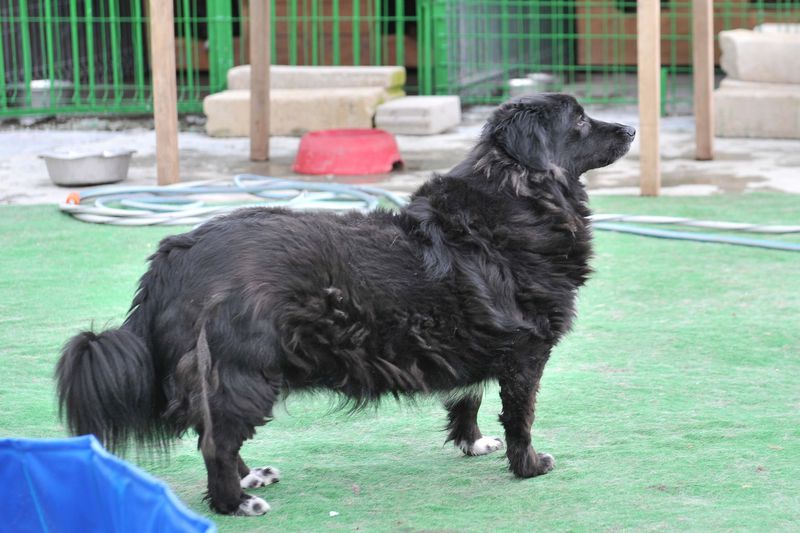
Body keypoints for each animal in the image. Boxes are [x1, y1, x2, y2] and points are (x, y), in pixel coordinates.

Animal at [56, 94, 634, 516]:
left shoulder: (475, 339)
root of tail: (177, 253)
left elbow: (466, 399)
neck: (520, 195)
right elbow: (521, 417)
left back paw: (250, 477)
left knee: (212, 429)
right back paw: (235, 502)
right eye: (580, 120)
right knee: (214, 442)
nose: (630, 129)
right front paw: (529, 464)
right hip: (246, 372)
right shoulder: (526, 353)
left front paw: (472, 444)